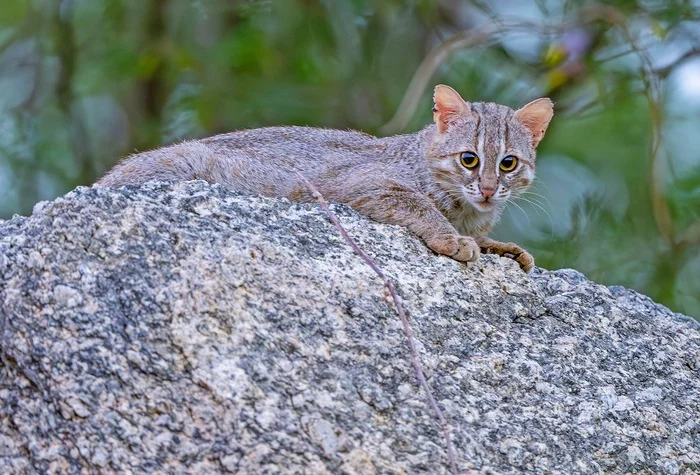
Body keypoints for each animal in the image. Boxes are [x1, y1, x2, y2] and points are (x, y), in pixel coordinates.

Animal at [95, 84, 552, 272]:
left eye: (508, 164)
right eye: (469, 159)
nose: (489, 190)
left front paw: (500, 246)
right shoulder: (364, 184)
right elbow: (421, 206)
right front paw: (452, 238)